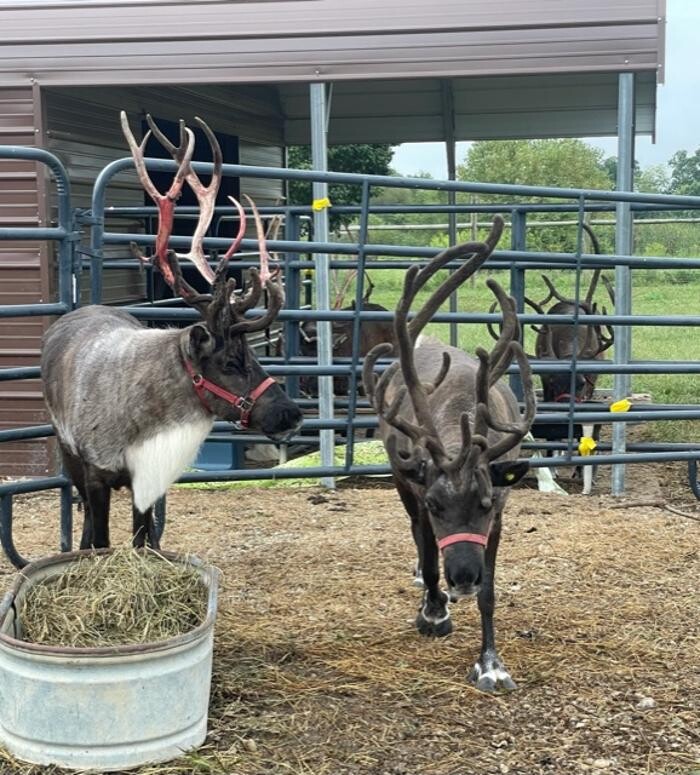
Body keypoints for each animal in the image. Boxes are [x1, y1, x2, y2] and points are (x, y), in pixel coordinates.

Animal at [40, 112, 303, 551]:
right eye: (230, 363)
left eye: (254, 355)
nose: (292, 413)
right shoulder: (95, 472)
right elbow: (102, 536)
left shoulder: (151, 478)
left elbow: (145, 541)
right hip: (67, 450)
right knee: (87, 518)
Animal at [363, 215, 536, 693]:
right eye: (438, 504)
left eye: (484, 504)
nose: (463, 577)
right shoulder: (419, 494)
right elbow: (427, 552)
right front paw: (434, 611)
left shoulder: (501, 509)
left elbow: (491, 592)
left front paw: (491, 664)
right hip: (401, 483)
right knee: (418, 542)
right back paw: (432, 595)